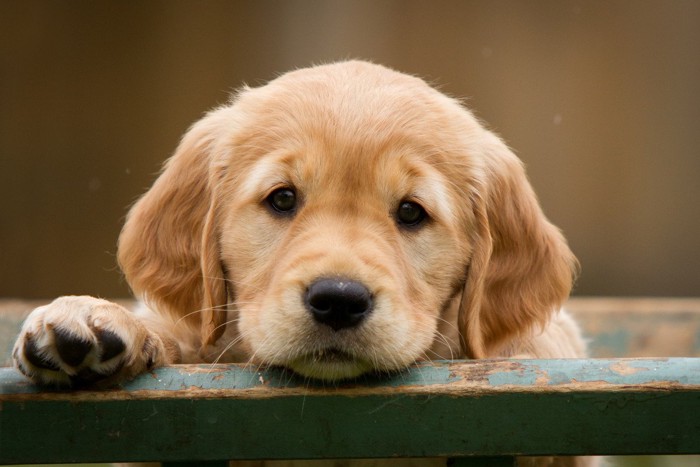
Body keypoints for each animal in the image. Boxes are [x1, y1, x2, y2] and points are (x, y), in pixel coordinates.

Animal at [12, 62, 592, 467]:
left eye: (411, 212)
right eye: (283, 199)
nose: (338, 300)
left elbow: (539, 352)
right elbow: (178, 334)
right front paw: (93, 320)